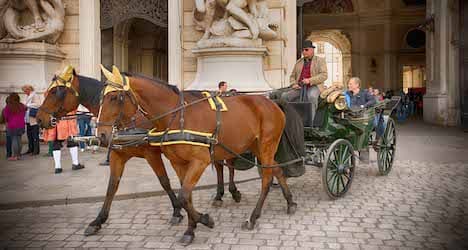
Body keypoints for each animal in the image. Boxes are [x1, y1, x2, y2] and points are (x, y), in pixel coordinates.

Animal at [34, 66, 241, 236]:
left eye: (57, 92)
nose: (39, 118)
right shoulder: (118, 155)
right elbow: (112, 186)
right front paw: (98, 220)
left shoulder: (152, 154)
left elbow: (164, 181)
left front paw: (177, 211)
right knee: (222, 165)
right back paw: (222, 194)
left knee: (227, 164)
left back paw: (230, 192)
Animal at [97, 66, 298, 244]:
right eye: (101, 98)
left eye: (114, 97)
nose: (102, 135)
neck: (177, 116)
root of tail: (271, 101)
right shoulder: (178, 163)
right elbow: (186, 196)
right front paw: (190, 229)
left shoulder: (200, 161)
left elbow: (183, 196)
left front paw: (204, 220)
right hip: (257, 146)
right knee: (277, 169)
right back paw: (290, 202)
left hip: (267, 145)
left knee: (267, 178)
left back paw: (254, 217)